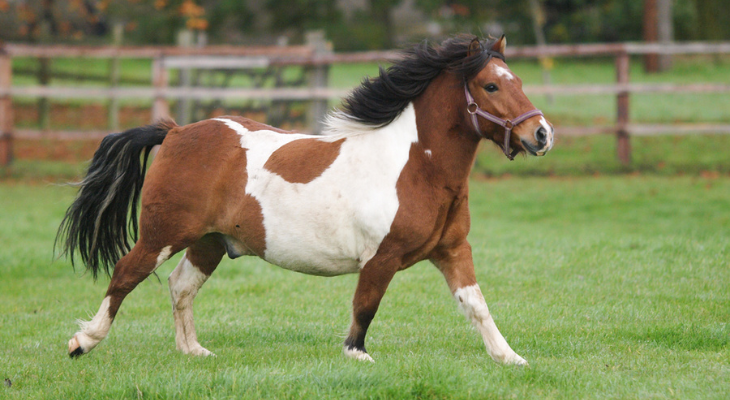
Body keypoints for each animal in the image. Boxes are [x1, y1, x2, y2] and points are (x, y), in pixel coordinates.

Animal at [57, 35, 556, 366]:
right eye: (491, 86)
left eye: (518, 80)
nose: (542, 134)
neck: (416, 166)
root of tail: (177, 131)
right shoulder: (381, 257)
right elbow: (365, 308)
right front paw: (357, 356)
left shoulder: (452, 251)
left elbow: (476, 304)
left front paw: (510, 358)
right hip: (164, 234)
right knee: (125, 274)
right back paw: (83, 342)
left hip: (208, 241)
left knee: (181, 286)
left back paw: (193, 351)